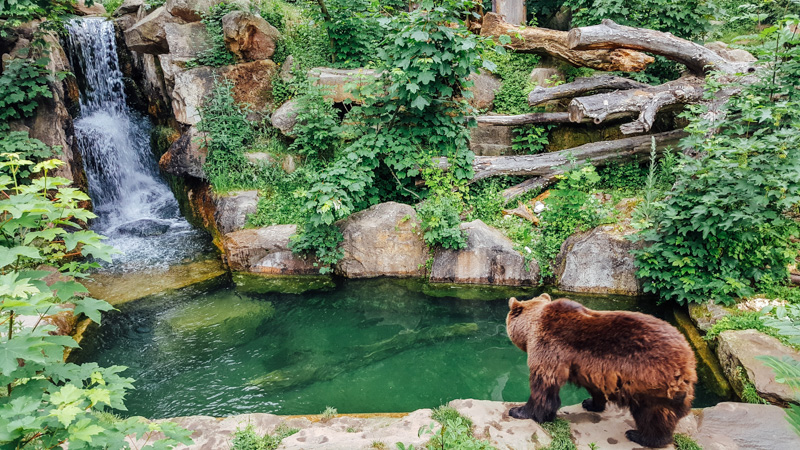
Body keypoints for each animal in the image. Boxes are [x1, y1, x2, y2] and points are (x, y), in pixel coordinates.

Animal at [510, 294, 696, 448]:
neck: (532, 327)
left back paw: (640, 436)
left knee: (651, 414)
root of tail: (689, 359)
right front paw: (590, 403)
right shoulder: (593, 369)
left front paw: (520, 411)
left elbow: (543, 386)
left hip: (651, 378)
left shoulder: (549, 348)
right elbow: (595, 387)